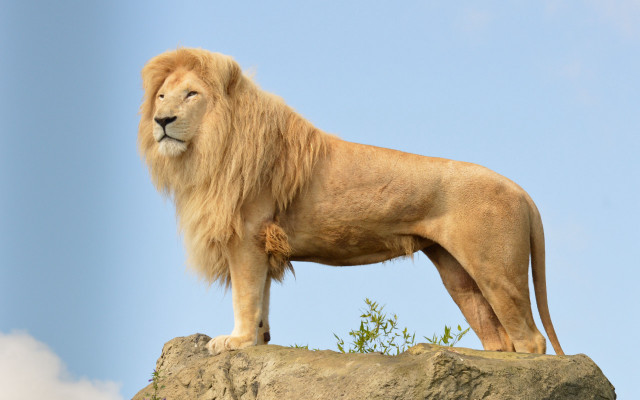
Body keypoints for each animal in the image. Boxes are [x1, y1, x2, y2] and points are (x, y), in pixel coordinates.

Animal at [139, 48, 564, 356]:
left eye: (191, 94)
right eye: (161, 96)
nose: (162, 120)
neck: (207, 150)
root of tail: (520, 190)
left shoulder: (246, 235)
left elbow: (246, 295)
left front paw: (236, 341)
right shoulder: (262, 242)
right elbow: (261, 298)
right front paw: (258, 340)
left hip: (495, 268)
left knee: (530, 339)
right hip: (458, 273)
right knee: (498, 338)